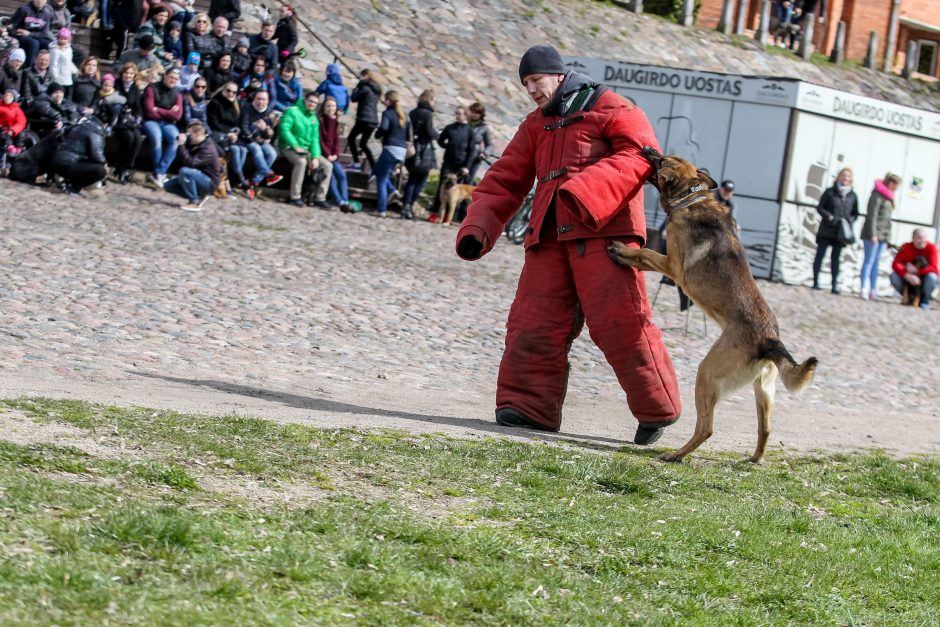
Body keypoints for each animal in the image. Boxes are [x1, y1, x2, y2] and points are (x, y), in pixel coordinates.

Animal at [608, 146, 816, 462]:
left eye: (661, 160)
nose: (647, 148)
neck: (689, 197)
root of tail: (770, 340)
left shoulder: (673, 266)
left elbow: (645, 252)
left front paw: (621, 250)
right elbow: (644, 256)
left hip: (706, 373)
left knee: (706, 428)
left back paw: (676, 455)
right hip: (763, 391)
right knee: (766, 428)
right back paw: (754, 460)